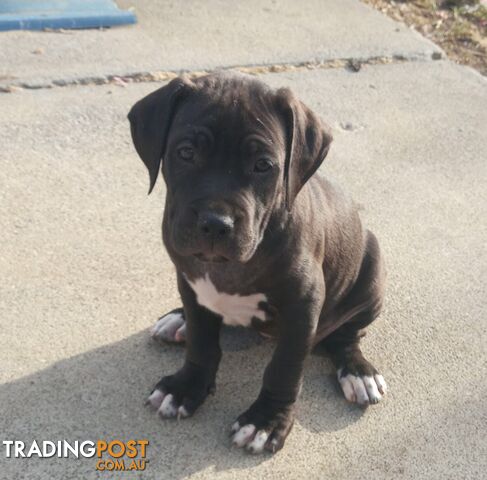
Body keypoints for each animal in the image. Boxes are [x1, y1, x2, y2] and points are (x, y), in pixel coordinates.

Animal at [127, 73, 386, 456]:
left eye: (263, 165)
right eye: (186, 153)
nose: (215, 224)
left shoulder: (303, 305)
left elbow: (284, 367)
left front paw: (265, 421)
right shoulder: (189, 282)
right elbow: (202, 343)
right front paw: (186, 386)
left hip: (372, 269)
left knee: (346, 335)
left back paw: (358, 371)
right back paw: (178, 321)